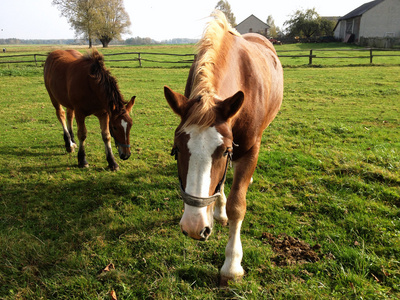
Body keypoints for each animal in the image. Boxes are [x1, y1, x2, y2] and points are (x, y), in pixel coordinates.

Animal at [164, 11, 282, 284]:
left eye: (225, 151)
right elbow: (220, 187)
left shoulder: (248, 151)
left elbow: (238, 206)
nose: (194, 227)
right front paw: (218, 210)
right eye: (177, 150)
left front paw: (232, 264)